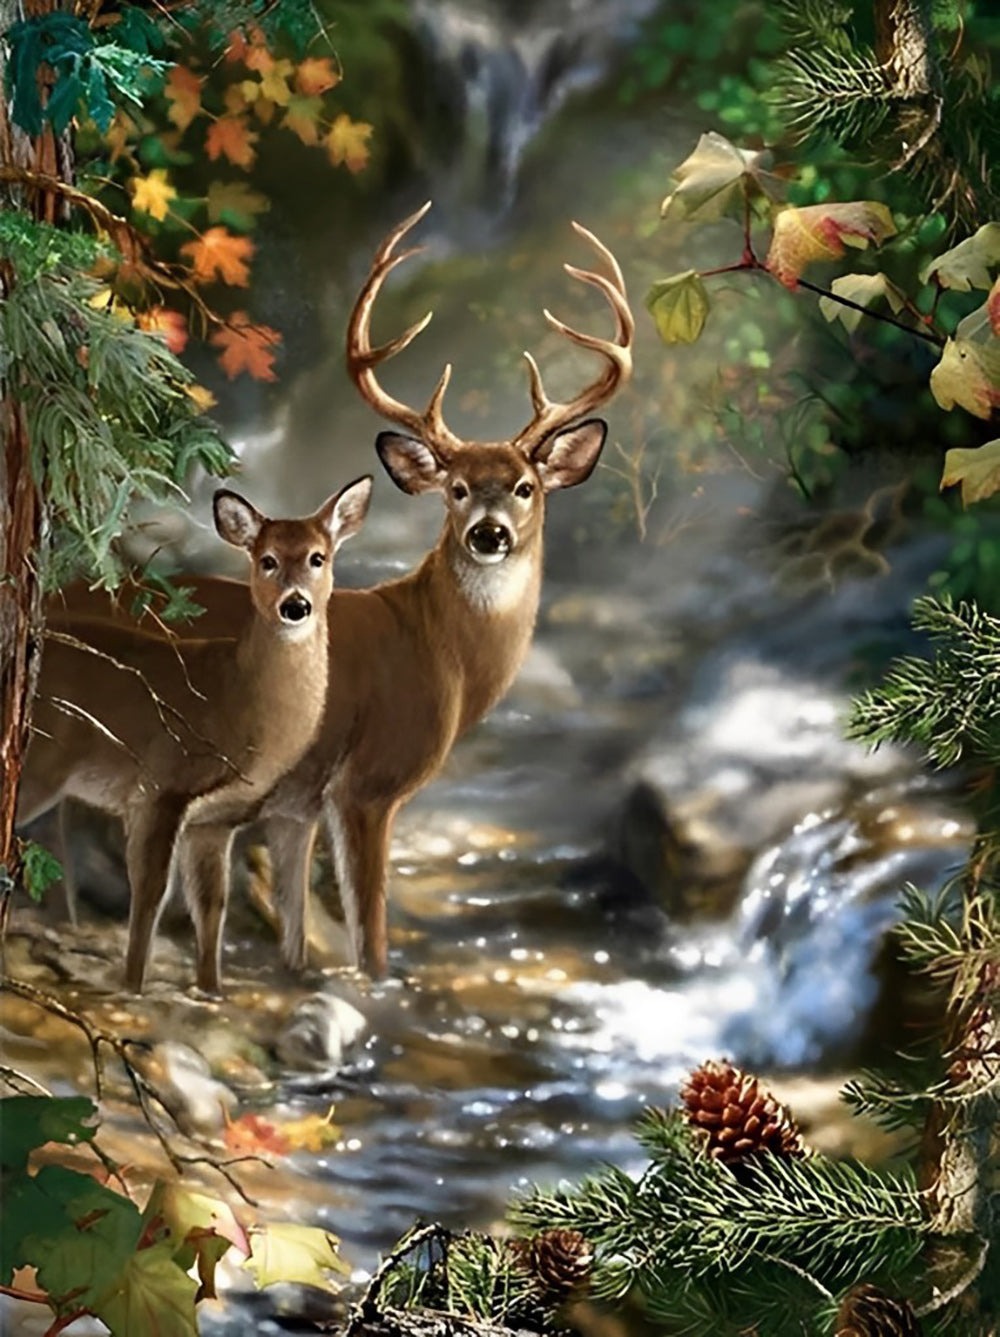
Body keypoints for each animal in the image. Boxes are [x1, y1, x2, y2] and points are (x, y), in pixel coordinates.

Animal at [20, 477, 373, 993]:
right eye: (266, 560)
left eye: (318, 557)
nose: (295, 606)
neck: (234, 700)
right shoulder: (160, 785)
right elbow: (151, 893)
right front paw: (133, 986)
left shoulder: (214, 820)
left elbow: (210, 905)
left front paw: (211, 990)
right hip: (40, 761)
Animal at [48, 201, 634, 979]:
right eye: (455, 488)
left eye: (525, 486)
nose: (489, 534)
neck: (443, 652)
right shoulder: (368, 783)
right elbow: (369, 932)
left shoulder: (295, 801)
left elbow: (296, 922)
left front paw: (295, 970)